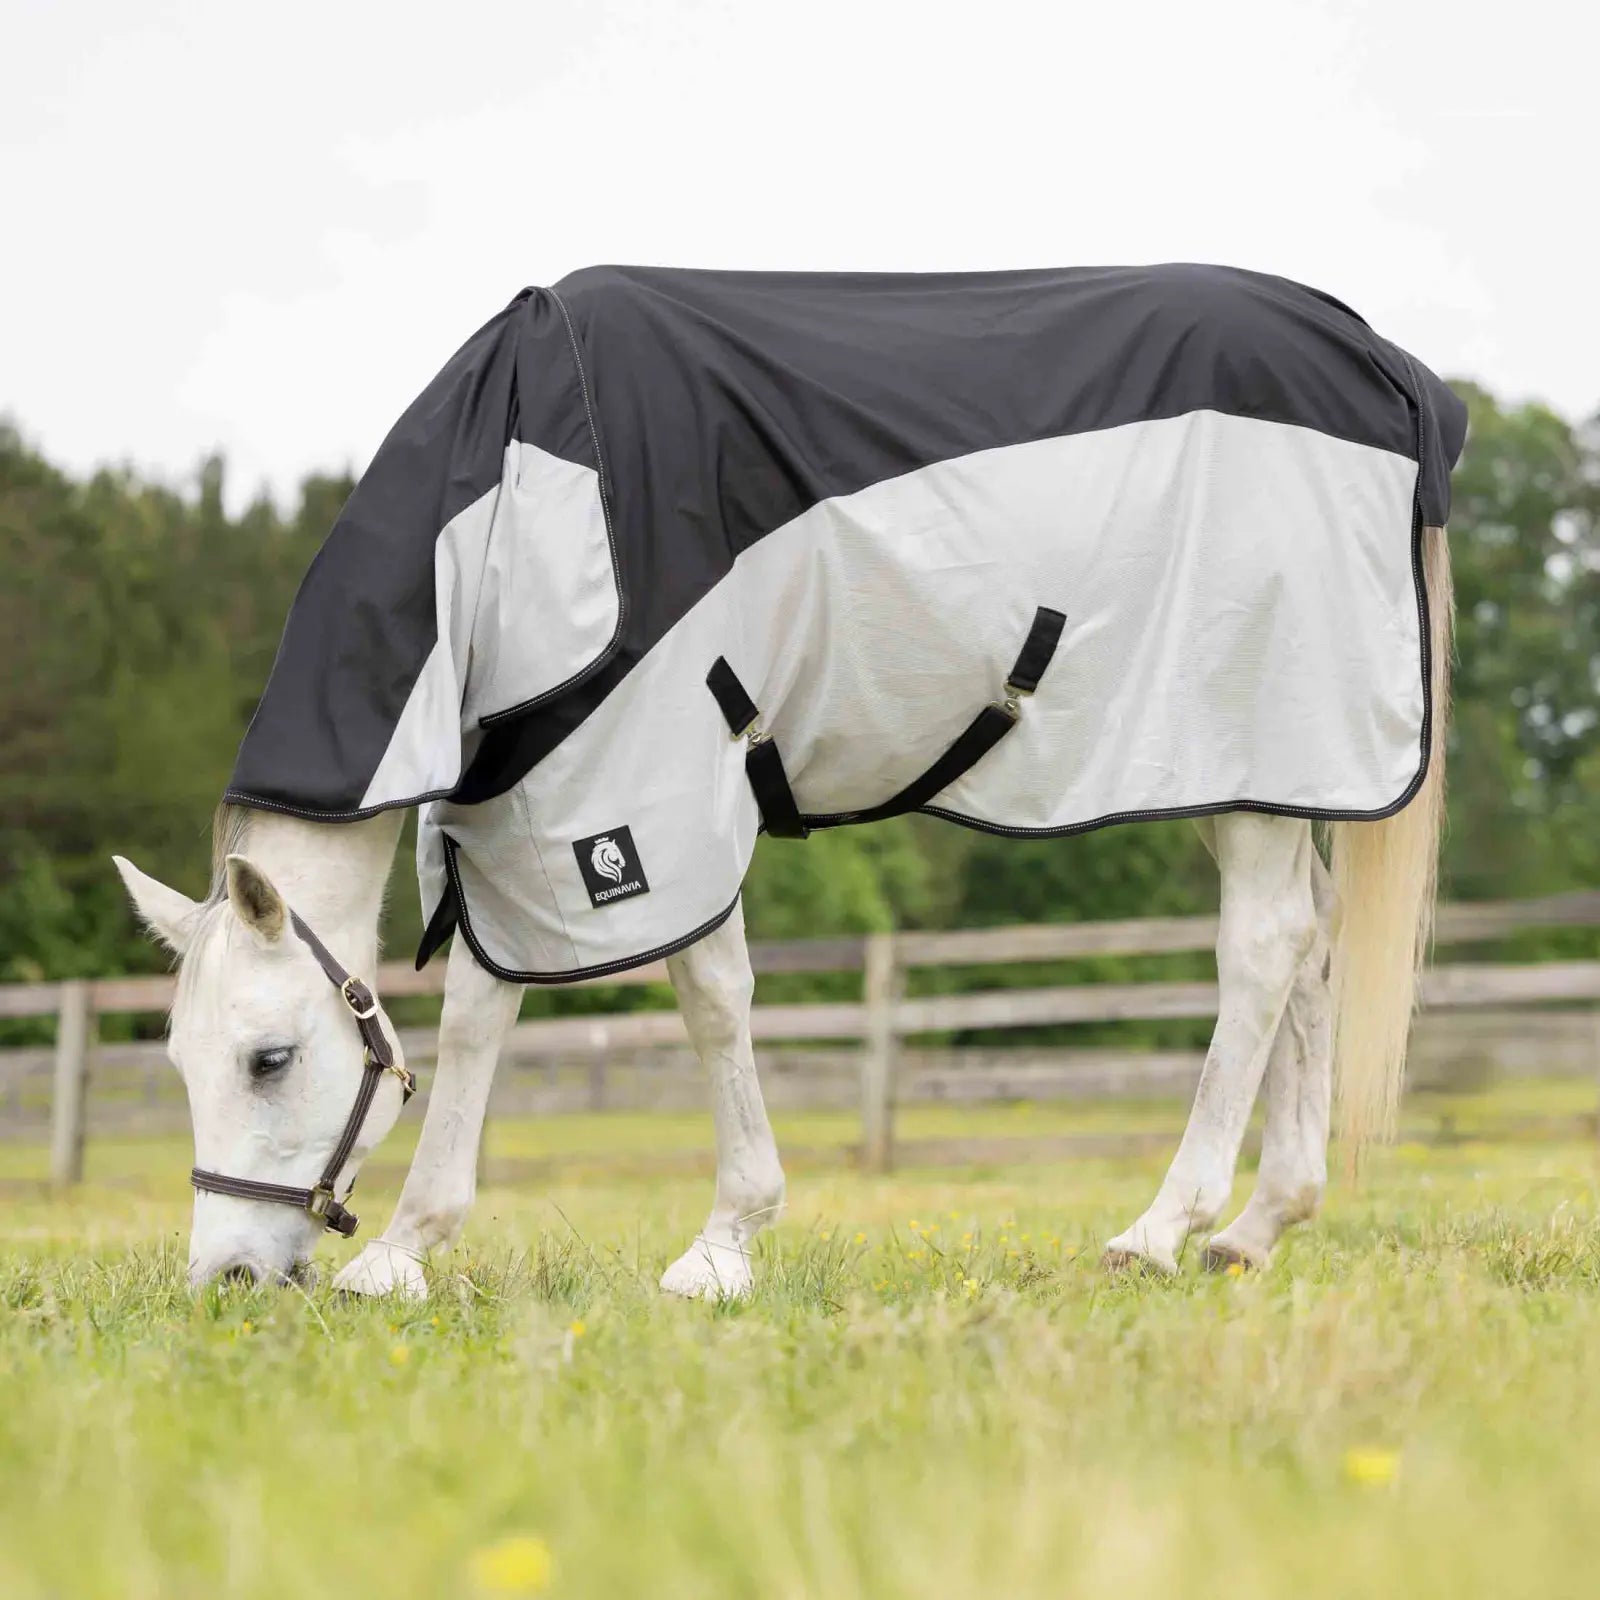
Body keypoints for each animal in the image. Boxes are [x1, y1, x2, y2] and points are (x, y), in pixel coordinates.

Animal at [111, 265, 1461, 1294]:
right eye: (175, 1062)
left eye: (269, 1059)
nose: (230, 1277)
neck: (513, 505)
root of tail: (1380, 361)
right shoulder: (516, 810)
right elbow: (490, 1005)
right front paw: (405, 1251)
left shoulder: (643, 787)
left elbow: (703, 995)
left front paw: (720, 1244)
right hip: (1253, 771)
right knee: (1312, 944)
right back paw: (1257, 1225)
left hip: (1248, 749)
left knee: (1261, 948)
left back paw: (1162, 1226)